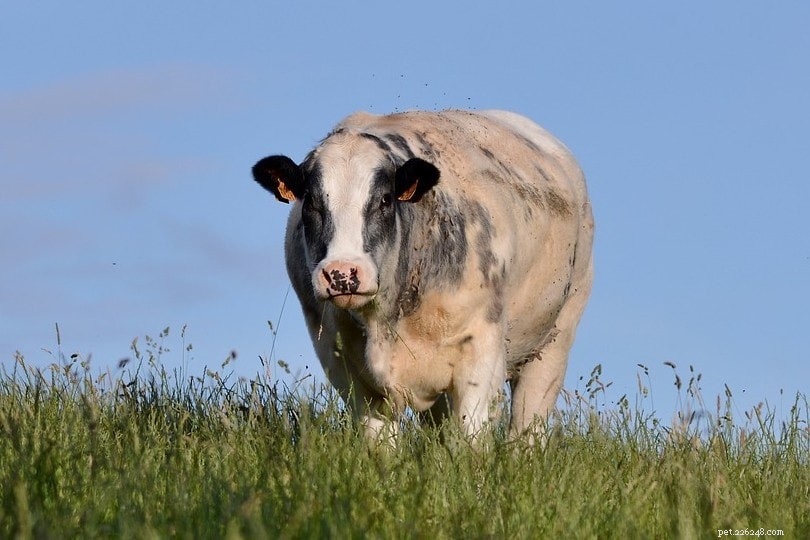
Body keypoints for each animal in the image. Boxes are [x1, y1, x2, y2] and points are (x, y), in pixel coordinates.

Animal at [252, 110, 593, 441]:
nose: (341, 273)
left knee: (527, 427)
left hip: (554, 340)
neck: (384, 325)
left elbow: (472, 437)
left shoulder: (482, 351)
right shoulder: (341, 361)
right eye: (310, 202)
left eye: (385, 200)